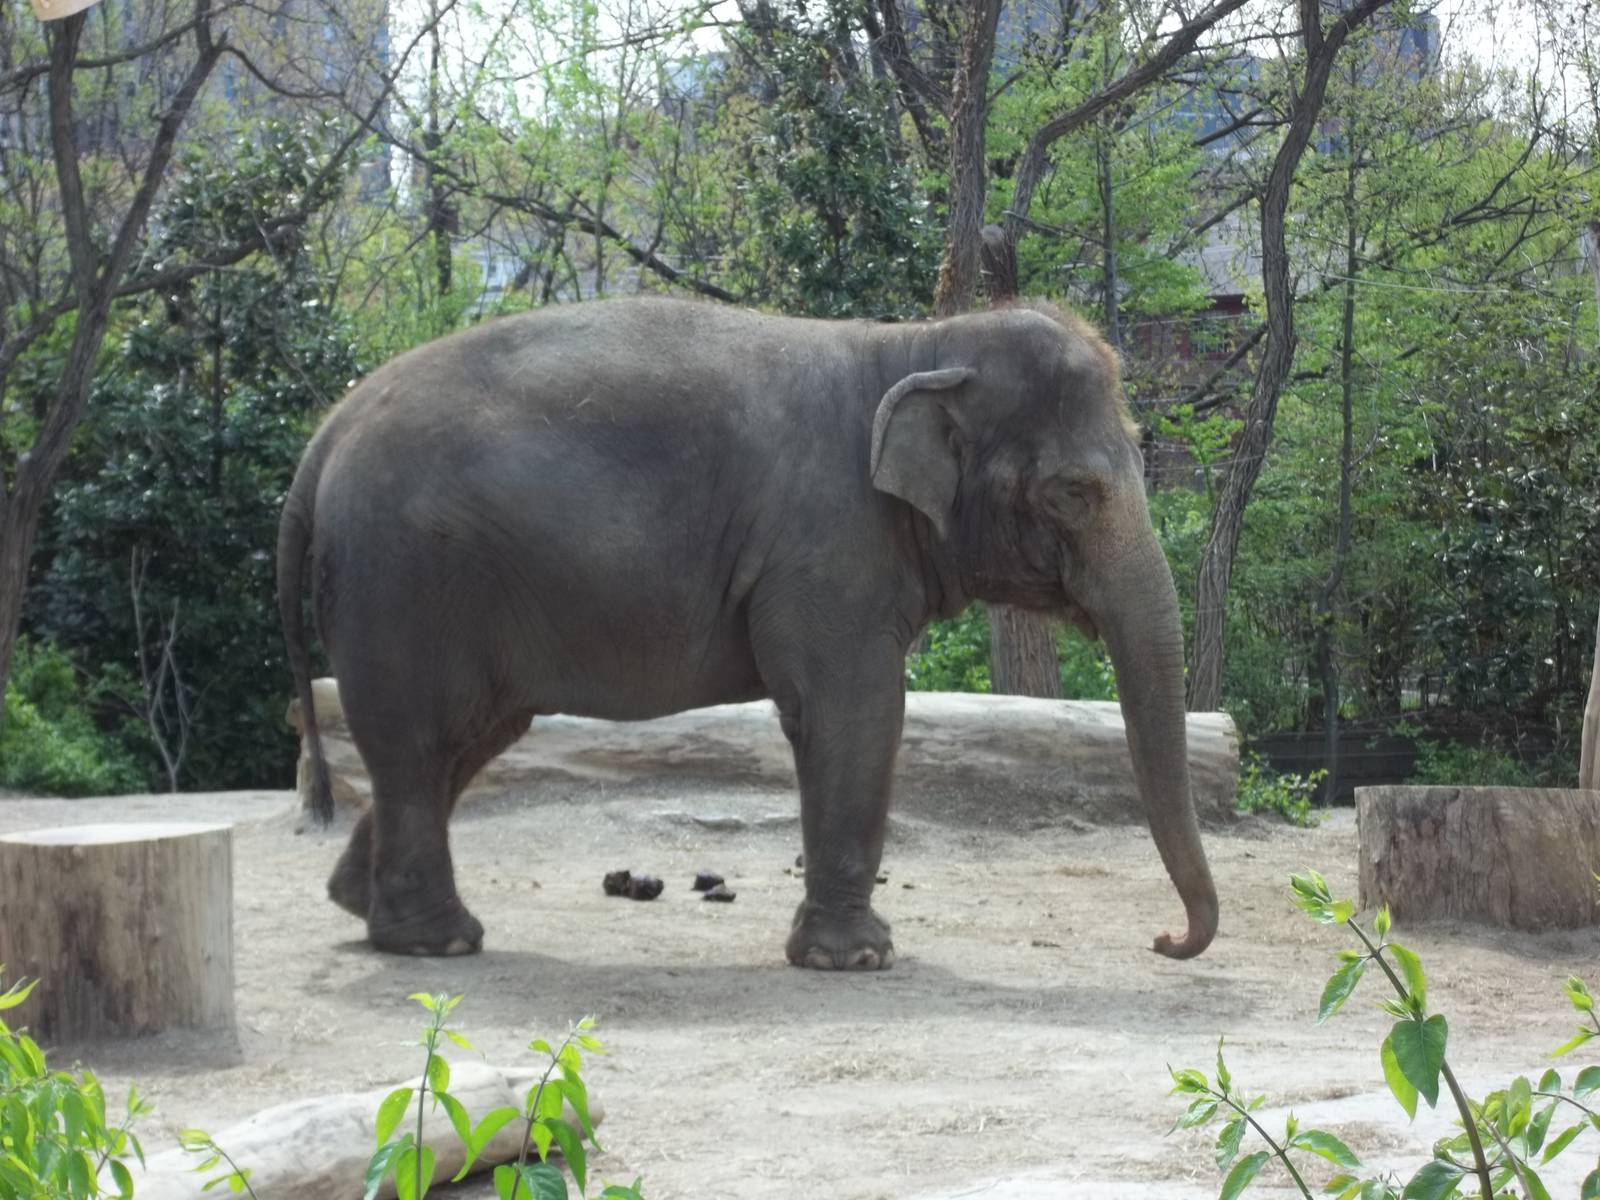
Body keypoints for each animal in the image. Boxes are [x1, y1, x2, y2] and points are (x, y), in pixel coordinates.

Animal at [276, 296, 1219, 968]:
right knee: (421, 739)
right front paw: (857, 960)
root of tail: (323, 439)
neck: (918, 343)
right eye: (1073, 493)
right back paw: (439, 941)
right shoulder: (828, 549)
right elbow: (856, 711)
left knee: (464, 738)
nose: (1163, 941)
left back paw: (363, 906)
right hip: (403, 582)